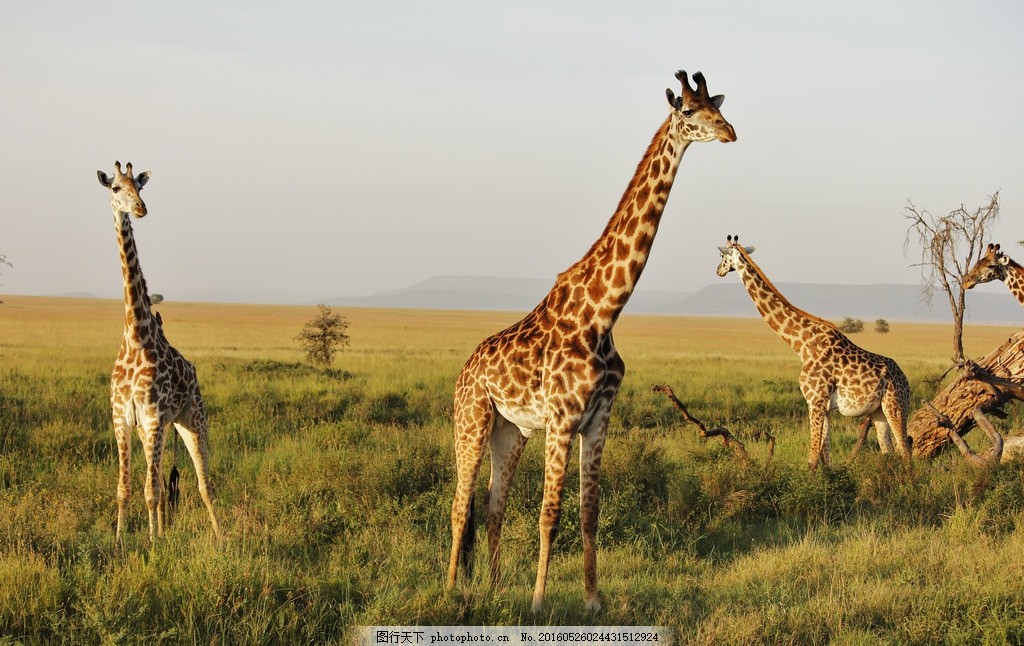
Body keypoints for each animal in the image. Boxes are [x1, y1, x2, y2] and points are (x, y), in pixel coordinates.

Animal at [97, 162, 222, 544]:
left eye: (139, 187)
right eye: (115, 188)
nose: (140, 208)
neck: (137, 336)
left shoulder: (153, 416)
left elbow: (150, 491)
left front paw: (153, 545)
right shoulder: (123, 418)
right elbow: (126, 488)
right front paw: (121, 542)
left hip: (193, 419)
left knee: (204, 484)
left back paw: (220, 538)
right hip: (160, 429)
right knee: (163, 477)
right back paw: (163, 530)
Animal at [448, 69, 737, 610]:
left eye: (720, 106)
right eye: (690, 111)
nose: (730, 132)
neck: (603, 314)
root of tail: (465, 370)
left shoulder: (599, 417)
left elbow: (588, 511)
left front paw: (592, 600)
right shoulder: (563, 418)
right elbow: (550, 513)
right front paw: (539, 603)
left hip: (510, 431)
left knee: (493, 507)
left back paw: (494, 589)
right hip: (471, 421)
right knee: (459, 505)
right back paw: (453, 588)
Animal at [712, 237, 913, 470]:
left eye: (722, 256)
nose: (718, 270)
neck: (802, 345)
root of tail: (905, 379)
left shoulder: (814, 401)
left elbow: (812, 458)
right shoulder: (823, 406)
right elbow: (825, 457)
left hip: (896, 404)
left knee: (905, 449)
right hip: (879, 412)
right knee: (889, 450)